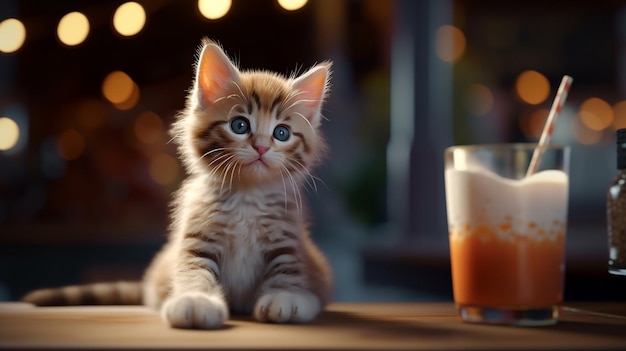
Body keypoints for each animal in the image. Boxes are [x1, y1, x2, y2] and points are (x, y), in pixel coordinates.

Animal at [20, 38, 332, 330]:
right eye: (240, 125)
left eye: (282, 133)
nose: (262, 147)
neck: (247, 196)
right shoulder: (197, 238)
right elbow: (193, 271)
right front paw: (195, 301)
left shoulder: (287, 237)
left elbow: (288, 269)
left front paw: (287, 297)